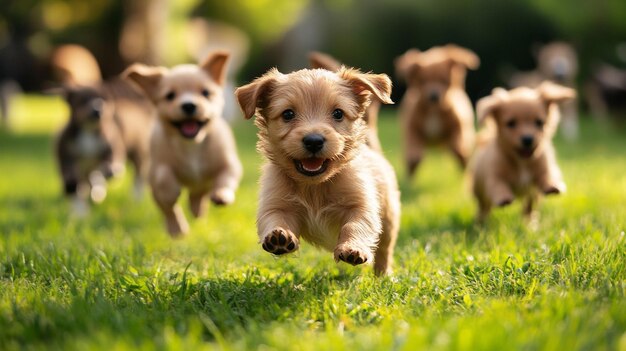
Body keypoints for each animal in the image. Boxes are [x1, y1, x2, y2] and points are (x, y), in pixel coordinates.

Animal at [122, 51, 241, 238]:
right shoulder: (158, 167)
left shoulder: (229, 164)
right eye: (170, 96)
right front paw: (171, 193)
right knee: (168, 210)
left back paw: (197, 210)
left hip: (202, 184)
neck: (192, 144)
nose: (189, 105)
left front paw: (222, 195)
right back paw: (176, 229)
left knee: (198, 195)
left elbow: (225, 178)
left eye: (205, 93)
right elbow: (164, 180)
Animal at [234, 66, 400, 276]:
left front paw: (353, 248)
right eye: (287, 114)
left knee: (385, 249)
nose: (314, 141)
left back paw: (383, 275)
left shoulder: (361, 205)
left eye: (338, 113)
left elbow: (355, 225)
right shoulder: (275, 203)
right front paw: (279, 237)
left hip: (389, 217)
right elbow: (275, 218)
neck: (314, 186)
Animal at [394, 44, 478, 179]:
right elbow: (413, 146)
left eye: (444, 81)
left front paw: (459, 149)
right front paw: (414, 156)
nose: (434, 96)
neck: (434, 111)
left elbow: (458, 142)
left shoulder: (458, 124)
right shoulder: (411, 126)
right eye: (423, 81)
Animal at [468, 82, 576, 223]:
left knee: (529, 207)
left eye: (539, 122)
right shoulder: (494, 176)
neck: (522, 161)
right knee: (483, 207)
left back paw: (530, 222)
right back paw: (481, 221)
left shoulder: (543, 168)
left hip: (533, 195)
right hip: (479, 190)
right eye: (511, 123)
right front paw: (504, 198)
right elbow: (498, 185)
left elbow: (546, 175)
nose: (528, 139)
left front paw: (552, 185)